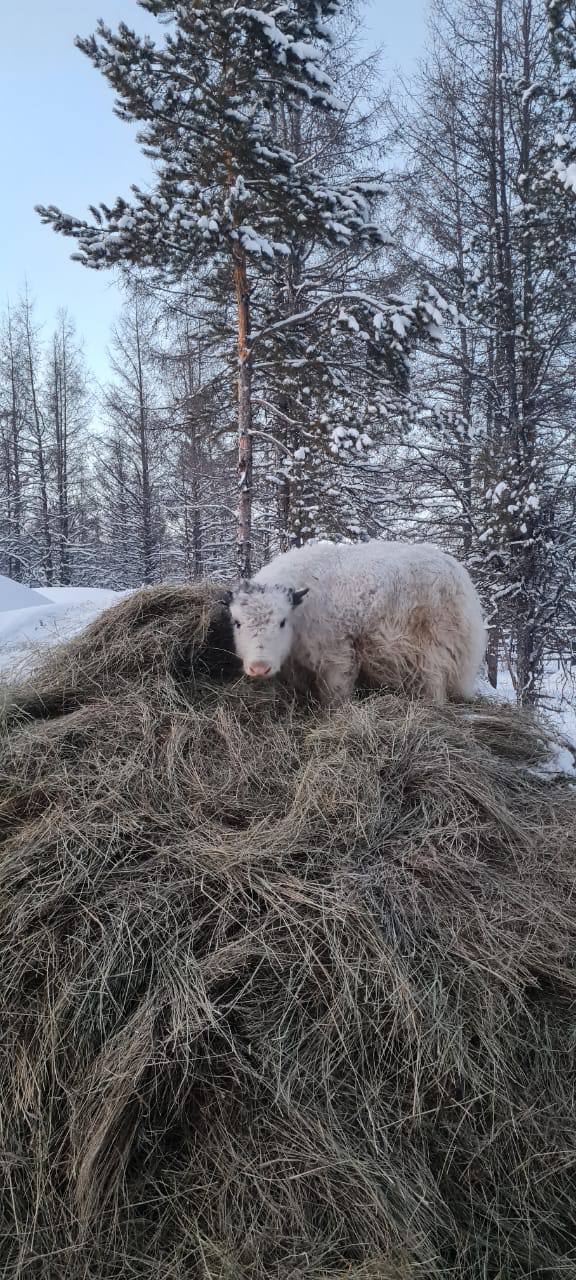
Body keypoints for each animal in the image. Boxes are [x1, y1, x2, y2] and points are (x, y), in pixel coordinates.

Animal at [225, 535, 486, 706]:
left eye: (281, 622)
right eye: (237, 623)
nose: (259, 667)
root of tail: (461, 577)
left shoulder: (336, 656)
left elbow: (335, 693)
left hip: (434, 653)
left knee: (435, 685)